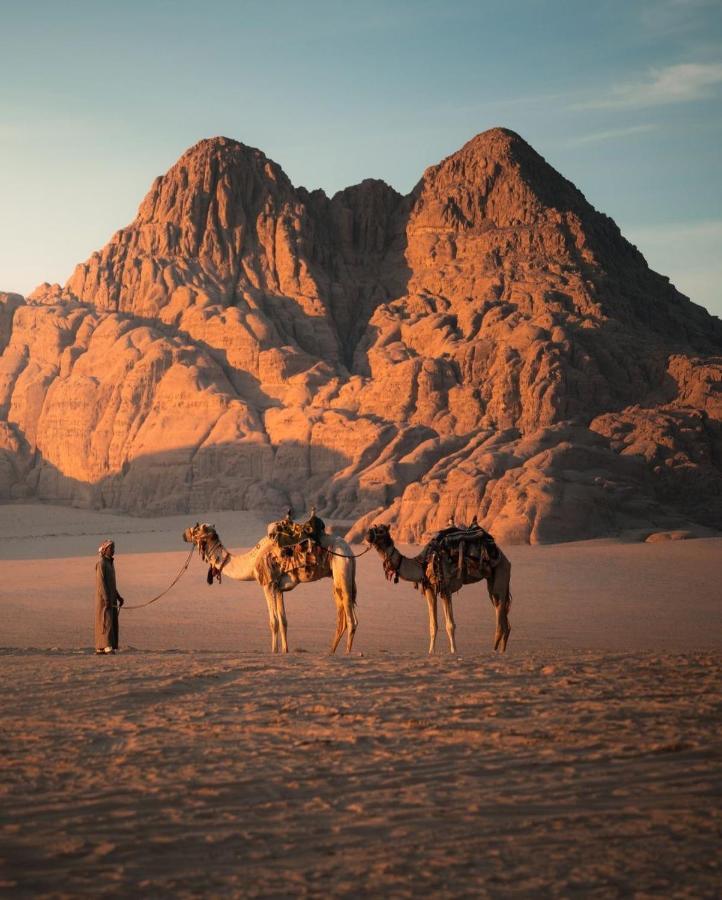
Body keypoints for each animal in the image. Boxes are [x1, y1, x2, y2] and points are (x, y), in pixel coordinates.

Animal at [183, 520, 358, 652]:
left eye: (196, 528)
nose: (184, 533)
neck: (252, 560)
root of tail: (349, 550)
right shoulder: (278, 588)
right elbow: (283, 621)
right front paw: (285, 650)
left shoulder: (267, 584)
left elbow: (273, 622)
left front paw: (274, 651)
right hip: (341, 575)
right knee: (343, 615)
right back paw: (331, 652)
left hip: (341, 568)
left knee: (350, 619)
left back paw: (347, 653)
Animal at [362, 520, 510, 652]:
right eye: (373, 527)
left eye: (381, 530)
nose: (367, 535)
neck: (422, 564)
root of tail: (501, 553)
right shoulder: (429, 589)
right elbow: (433, 625)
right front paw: (431, 652)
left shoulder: (446, 588)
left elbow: (450, 625)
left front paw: (454, 651)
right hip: (493, 581)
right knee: (501, 611)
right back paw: (500, 650)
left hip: (501, 571)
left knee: (500, 608)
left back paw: (497, 651)